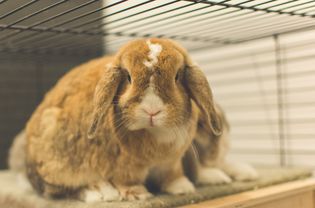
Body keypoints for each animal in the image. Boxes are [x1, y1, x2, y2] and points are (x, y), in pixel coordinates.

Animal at [24, 38, 222, 202]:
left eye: (177, 76)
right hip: (58, 163)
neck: (157, 133)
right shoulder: (123, 167)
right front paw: (137, 194)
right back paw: (101, 193)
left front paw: (182, 187)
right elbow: (125, 180)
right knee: (63, 189)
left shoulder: (170, 163)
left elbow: (172, 175)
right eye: (128, 77)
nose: (152, 110)